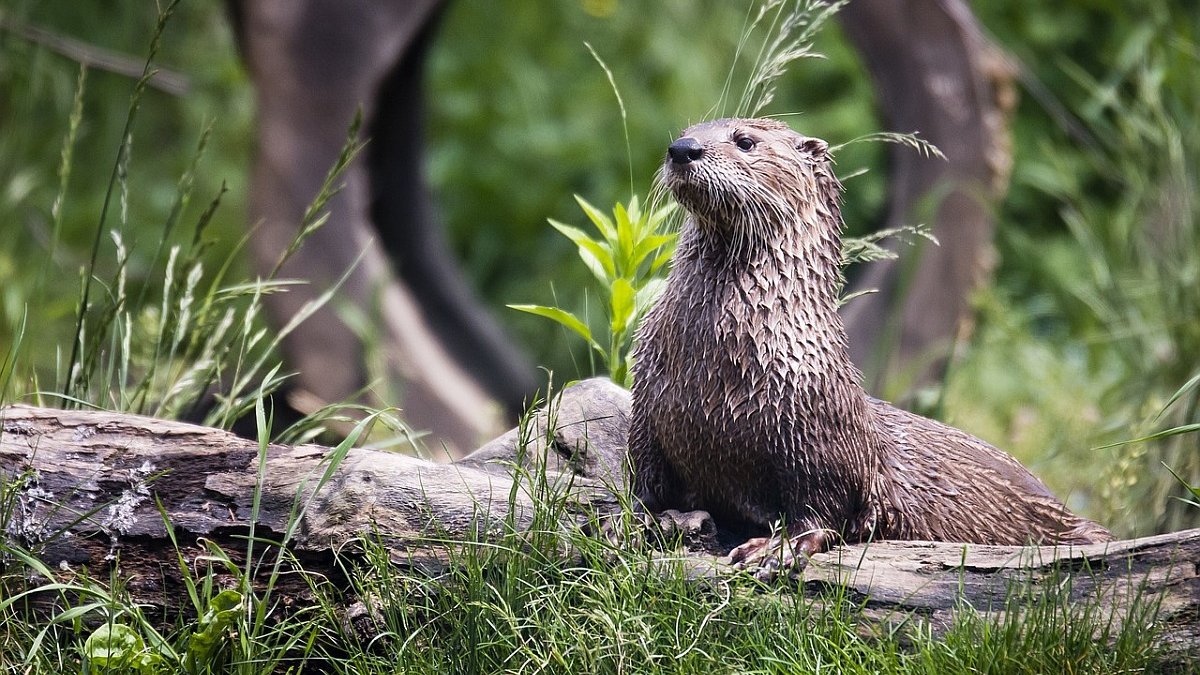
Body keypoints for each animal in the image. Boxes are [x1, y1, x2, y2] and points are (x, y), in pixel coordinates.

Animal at [633, 117, 1108, 566]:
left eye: (745, 141)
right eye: (686, 130)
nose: (683, 149)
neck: (715, 364)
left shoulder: (820, 433)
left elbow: (824, 507)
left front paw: (777, 548)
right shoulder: (647, 409)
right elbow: (644, 480)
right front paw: (640, 522)